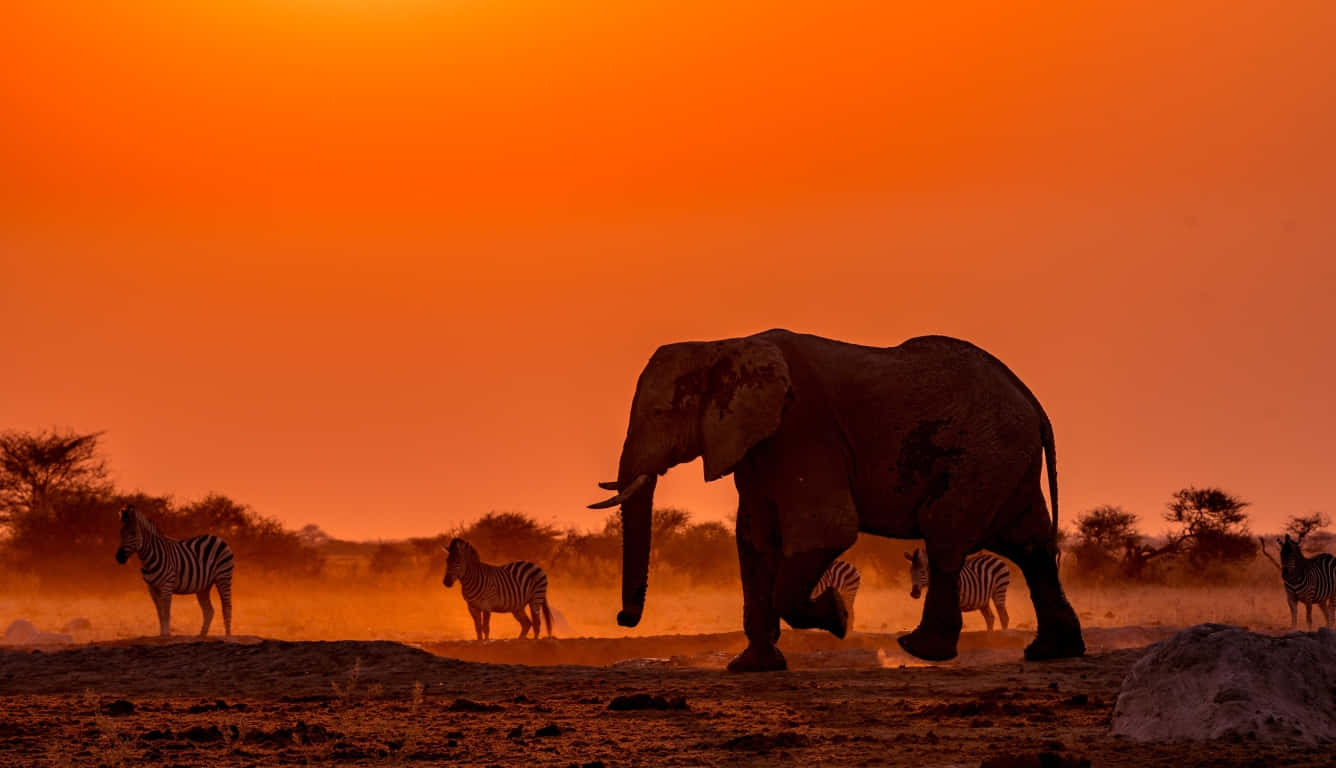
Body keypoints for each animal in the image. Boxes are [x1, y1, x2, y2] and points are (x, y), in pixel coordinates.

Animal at [113, 504, 233, 635]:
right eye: (121, 533)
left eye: (133, 533)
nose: (119, 557)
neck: (150, 557)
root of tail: (217, 538)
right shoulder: (152, 588)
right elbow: (160, 613)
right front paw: (162, 634)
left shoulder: (167, 585)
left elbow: (166, 612)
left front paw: (167, 634)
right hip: (204, 586)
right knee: (209, 611)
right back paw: (201, 635)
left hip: (223, 577)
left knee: (227, 607)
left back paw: (227, 635)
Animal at [593, 331, 1084, 673]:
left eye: (662, 413)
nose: (622, 617)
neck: (722, 344)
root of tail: (1032, 401)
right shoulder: (756, 444)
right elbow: (753, 540)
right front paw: (751, 668)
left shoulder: (802, 427)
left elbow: (825, 529)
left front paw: (838, 616)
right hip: (1006, 459)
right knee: (1031, 545)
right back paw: (1052, 652)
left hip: (984, 453)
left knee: (945, 530)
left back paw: (920, 648)